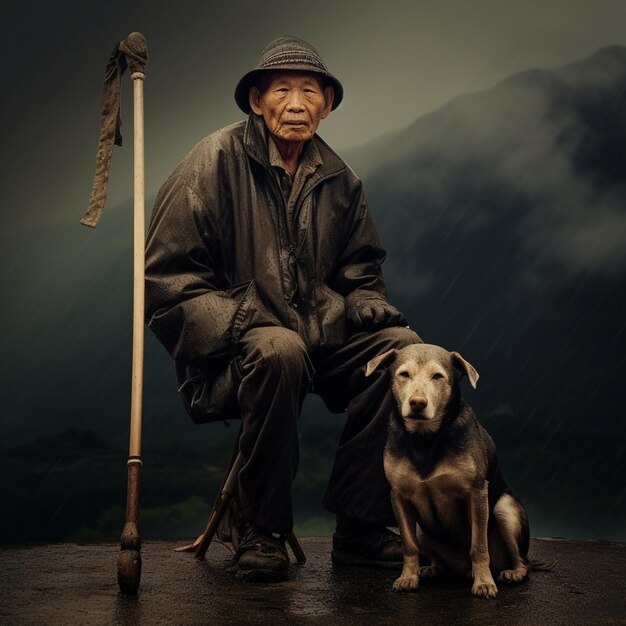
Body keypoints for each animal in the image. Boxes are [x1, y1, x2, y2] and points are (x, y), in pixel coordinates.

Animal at [366, 344, 532, 596]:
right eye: (403, 374)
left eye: (438, 376)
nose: (417, 402)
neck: (425, 438)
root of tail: (461, 568)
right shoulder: (399, 496)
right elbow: (409, 546)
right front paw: (408, 577)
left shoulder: (477, 493)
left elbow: (478, 546)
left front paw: (484, 583)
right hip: (423, 530)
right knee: (439, 560)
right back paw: (431, 569)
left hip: (505, 509)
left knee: (523, 561)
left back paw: (511, 573)